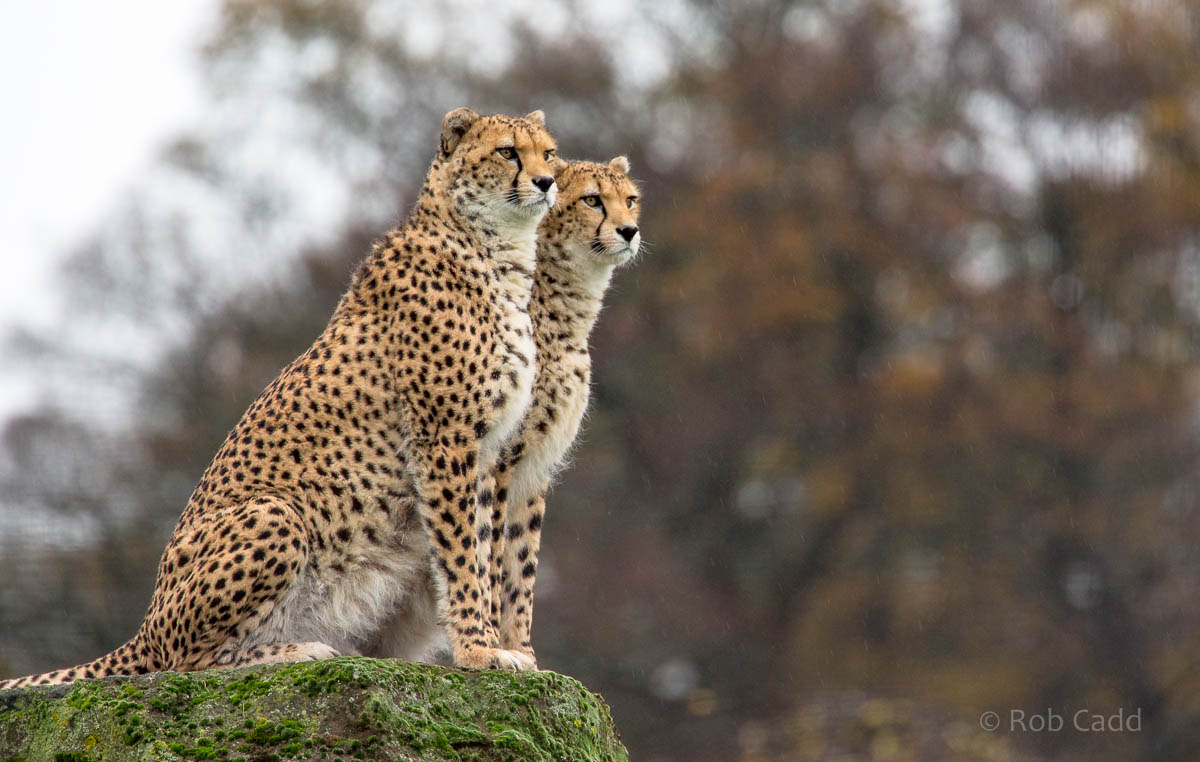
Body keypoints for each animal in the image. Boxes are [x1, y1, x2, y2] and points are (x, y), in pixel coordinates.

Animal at [0, 107, 558, 689]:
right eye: (507, 152)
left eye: (549, 152)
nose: (547, 182)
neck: (495, 250)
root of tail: (145, 627)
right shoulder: (445, 441)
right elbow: (463, 556)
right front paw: (478, 650)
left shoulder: (487, 452)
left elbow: (487, 553)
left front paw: (493, 644)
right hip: (276, 514)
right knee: (188, 663)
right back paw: (297, 651)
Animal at [474, 156, 642, 667]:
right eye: (592, 200)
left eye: (630, 199)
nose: (630, 230)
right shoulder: (501, 457)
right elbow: (490, 554)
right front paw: (493, 646)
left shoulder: (535, 466)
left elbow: (522, 561)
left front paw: (523, 651)